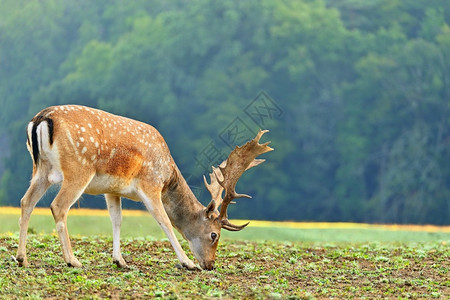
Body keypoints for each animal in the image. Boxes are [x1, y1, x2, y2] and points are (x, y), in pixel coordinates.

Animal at [15, 104, 272, 270]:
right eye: (214, 234)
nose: (210, 265)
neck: (167, 175)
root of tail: (41, 119)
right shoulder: (150, 184)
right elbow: (165, 222)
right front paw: (187, 263)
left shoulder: (112, 189)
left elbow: (117, 220)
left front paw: (120, 260)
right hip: (78, 169)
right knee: (58, 206)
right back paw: (72, 260)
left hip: (40, 170)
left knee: (26, 201)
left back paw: (21, 258)